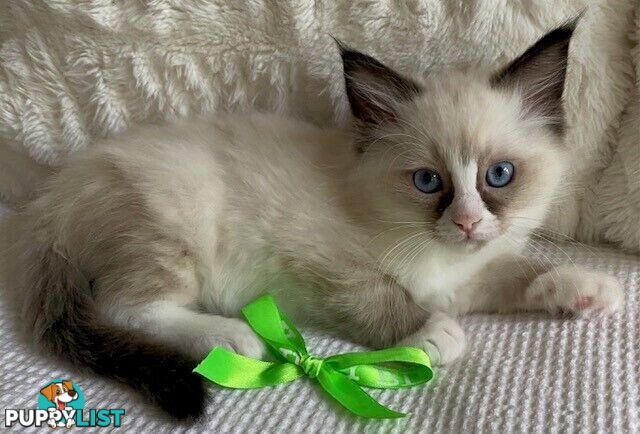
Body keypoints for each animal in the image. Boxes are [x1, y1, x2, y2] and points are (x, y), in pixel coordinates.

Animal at [0, 22, 620, 418]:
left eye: (499, 176)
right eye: (428, 183)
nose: (467, 223)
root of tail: (47, 202)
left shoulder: (468, 274)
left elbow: (521, 271)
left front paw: (587, 288)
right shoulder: (325, 265)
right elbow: (380, 295)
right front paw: (431, 334)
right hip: (172, 225)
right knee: (122, 306)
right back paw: (234, 339)